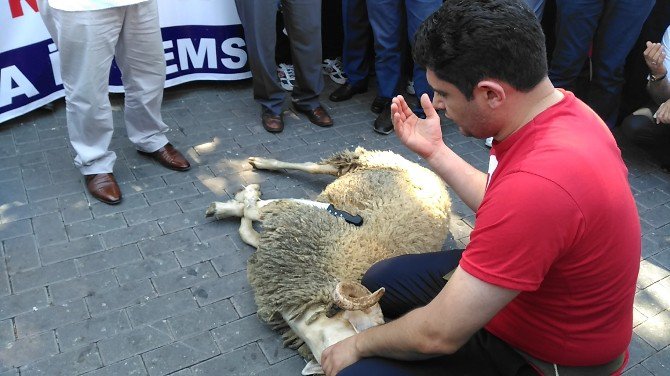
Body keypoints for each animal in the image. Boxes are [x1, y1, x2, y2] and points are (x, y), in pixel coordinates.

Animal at [207, 147, 454, 374]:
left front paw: (236, 207)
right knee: (315, 167)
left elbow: (250, 228)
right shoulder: (308, 214)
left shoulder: (284, 250)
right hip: (365, 161)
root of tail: (432, 174)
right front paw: (236, 200)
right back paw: (259, 167)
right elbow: (256, 210)